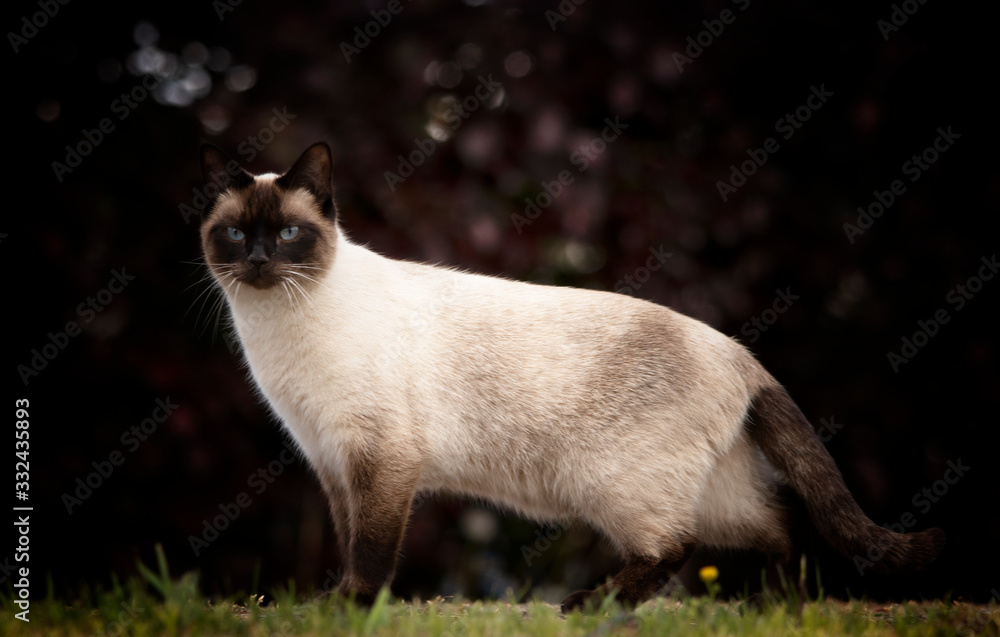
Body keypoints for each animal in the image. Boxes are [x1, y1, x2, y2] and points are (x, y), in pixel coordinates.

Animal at [197, 142, 944, 608]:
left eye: (288, 235)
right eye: (233, 235)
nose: (259, 260)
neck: (276, 325)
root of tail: (739, 352)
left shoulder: (379, 456)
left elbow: (373, 549)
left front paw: (353, 604)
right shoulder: (332, 460)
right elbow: (351, 537)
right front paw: (338, 598)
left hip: (616, 484)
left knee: (674, 546)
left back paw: (590, 603)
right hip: (711, 492)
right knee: (779, 522)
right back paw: (775, 603)